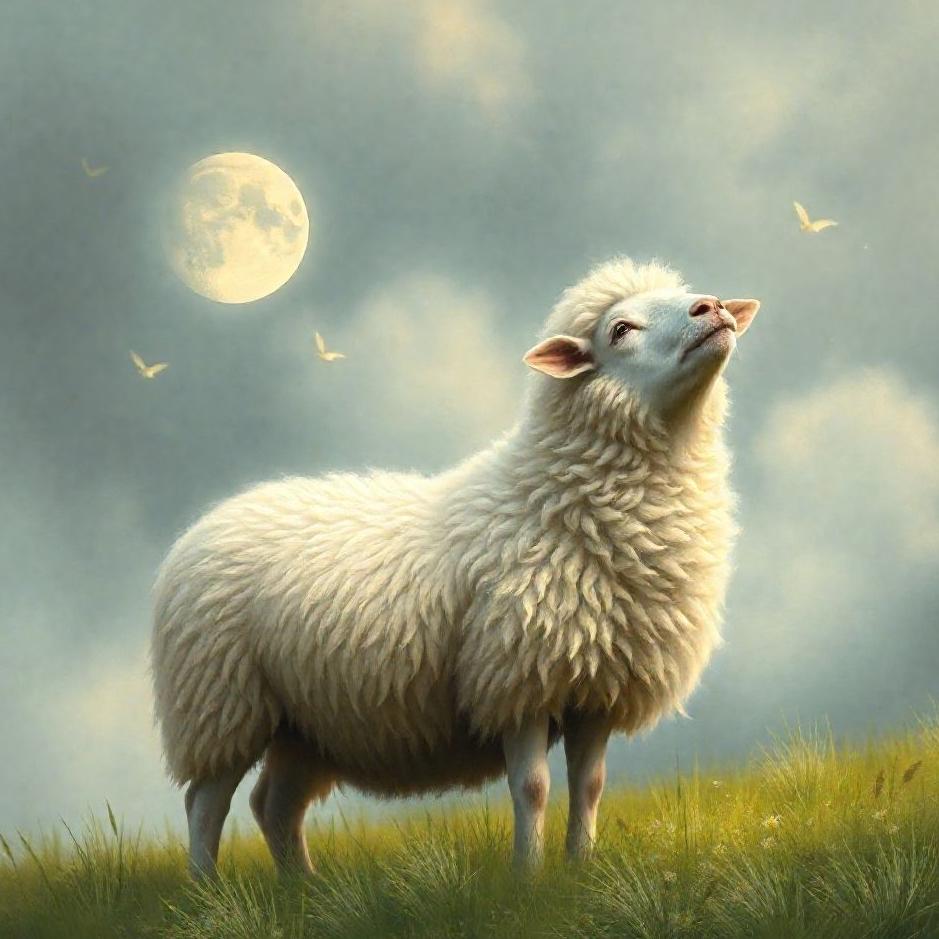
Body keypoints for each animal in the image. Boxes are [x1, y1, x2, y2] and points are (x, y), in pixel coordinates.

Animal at [150, 256, 761, 876]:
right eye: (620, 330)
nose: (711, 307)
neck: (552, 495)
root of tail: (200, 527)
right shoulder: (515, 674)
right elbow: (533, 788)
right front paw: (528, 876)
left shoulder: (597, 686)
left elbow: (590, 788)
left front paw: (579, 868)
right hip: (219, 701)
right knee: (206, 803)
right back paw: (207, 887)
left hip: (304, 722)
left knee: (273, 804)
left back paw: (302, 886)